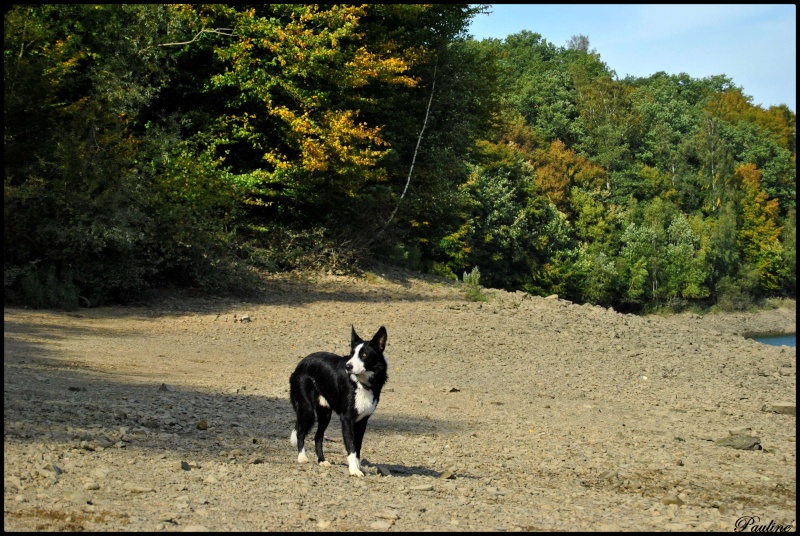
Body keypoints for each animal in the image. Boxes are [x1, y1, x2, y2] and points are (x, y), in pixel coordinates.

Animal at [290, 324, 390, 476]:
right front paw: (354, 470)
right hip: (306, 409)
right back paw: (302, 457)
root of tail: (301, 363)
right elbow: (351, 447)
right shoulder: (347, 418)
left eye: (364, 355)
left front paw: (358, 467)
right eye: (352, 353)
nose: (348, 366)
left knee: (318, 437)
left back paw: (321, 461)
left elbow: (358, 447)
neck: (361, 382)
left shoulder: (362, 421)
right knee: (300, 431)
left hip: (325, 414)